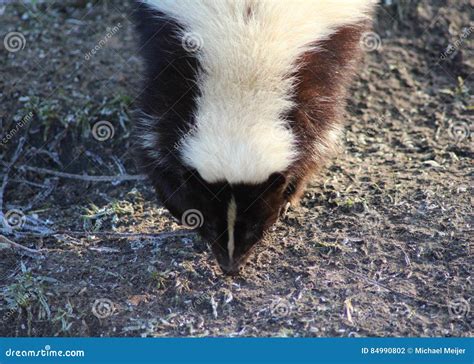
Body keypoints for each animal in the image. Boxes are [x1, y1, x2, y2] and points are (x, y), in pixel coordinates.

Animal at [132, 0, 374, 272]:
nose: (230, 267)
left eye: (256, 224)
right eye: (209, 222)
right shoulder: (172, 66)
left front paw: (290, 194)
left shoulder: (317, 70)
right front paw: (177, 202)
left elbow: (317, 140)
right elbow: (153, 143)